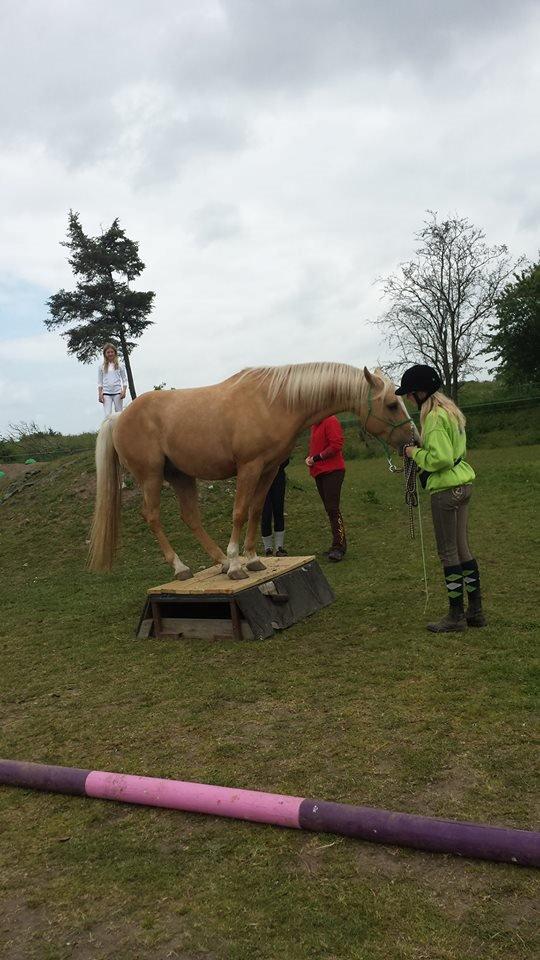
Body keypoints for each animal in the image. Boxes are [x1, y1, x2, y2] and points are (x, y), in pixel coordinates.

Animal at [90, 364, 416, 580]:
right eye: (391, 404)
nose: (413, 439)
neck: (274, 401)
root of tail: (119, 417)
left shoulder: (269, 470)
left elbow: (257, 511)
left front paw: (252, 558)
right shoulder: (248, 468)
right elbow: (239, 512)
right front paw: (237, 565)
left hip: (181, 476)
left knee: (190, 517)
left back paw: (220, 561)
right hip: (151, 477)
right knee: (153, 516)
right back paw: (183, 567)